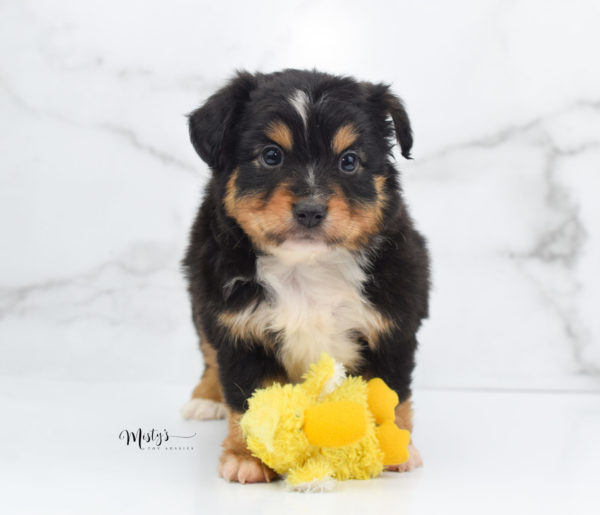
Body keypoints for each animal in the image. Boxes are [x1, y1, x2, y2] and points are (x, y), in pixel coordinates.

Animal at [180, 68, 428, 484]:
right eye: (271, 155)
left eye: (349, 161)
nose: (311, 210)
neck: (307, 268)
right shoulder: (239, 330)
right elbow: (249, 401)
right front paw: (248, 458)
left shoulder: (392, 325)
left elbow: (388, 395)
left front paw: (392, 447)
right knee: (208, 353)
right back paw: (204, 399)